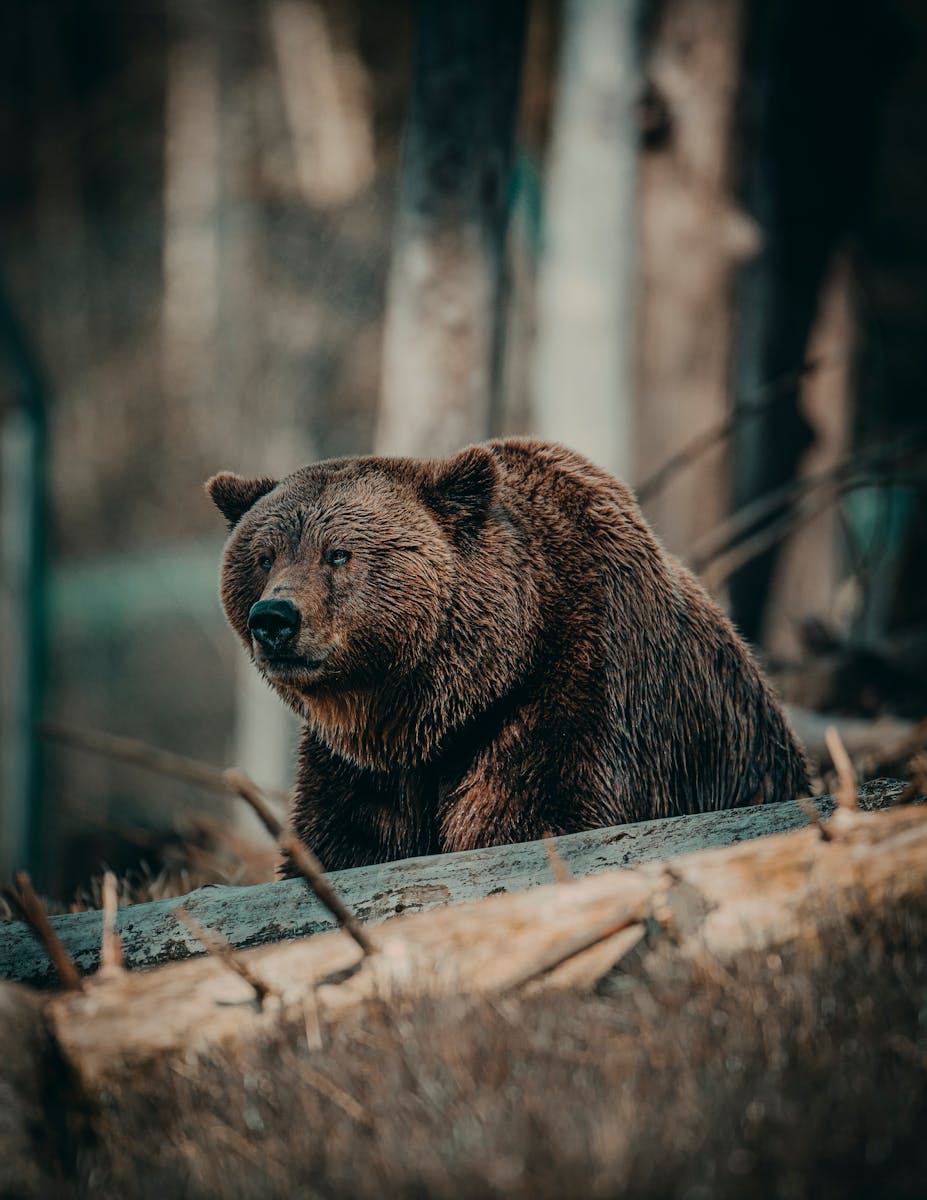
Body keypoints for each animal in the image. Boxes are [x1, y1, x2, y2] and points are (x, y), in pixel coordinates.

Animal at [207, 438, 809, 871]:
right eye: (264, 556)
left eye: (339, 554)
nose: (274, 619)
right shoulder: (361, 769)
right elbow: (341, 841)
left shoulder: (577, 690)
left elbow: (534, 813)